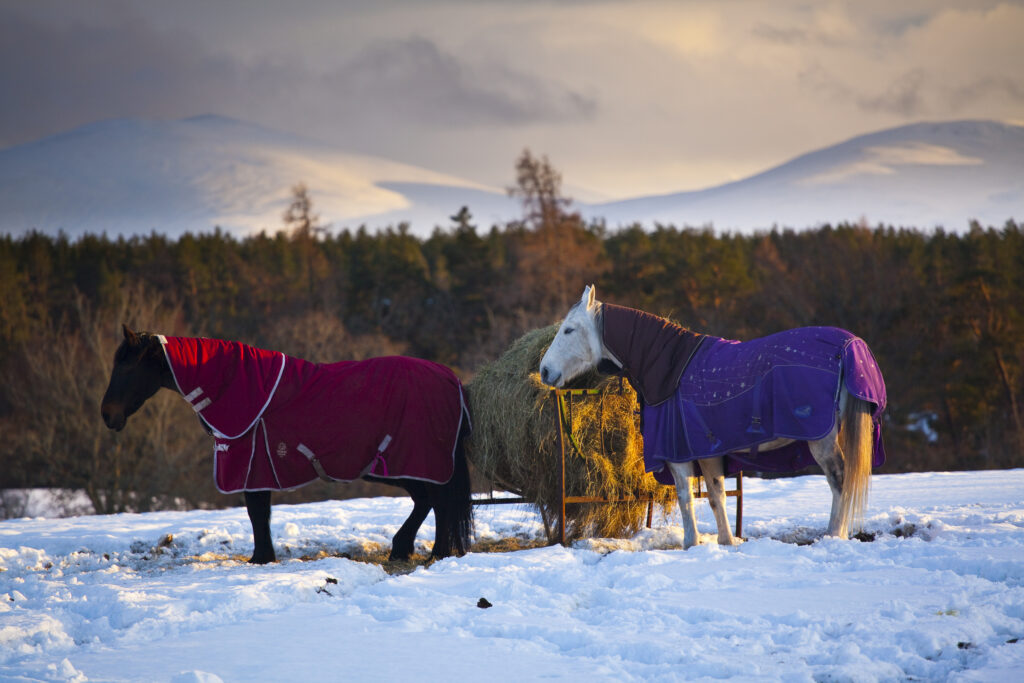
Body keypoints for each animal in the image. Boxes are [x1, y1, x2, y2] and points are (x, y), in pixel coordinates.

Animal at [101, 325, 473, 564]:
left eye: (126, 366)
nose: (107, 414)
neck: (240, 386)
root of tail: (450, 378)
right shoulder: (256, 467)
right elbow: (260, 514)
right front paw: (263, 557)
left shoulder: (251, 465)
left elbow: (256, 512)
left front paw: (261, 558)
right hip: (403, 465)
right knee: (428, 500)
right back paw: (404, 548)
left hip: (411, 462)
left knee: (438, 501)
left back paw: (437, 553)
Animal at [540, 286, 886, 549]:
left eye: (569, 329)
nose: (544, 370)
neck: (670, 369)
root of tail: (850, 346)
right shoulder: (708, 451)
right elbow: (717, 494)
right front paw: (726, 541)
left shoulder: (679, 453)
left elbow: (687, 498)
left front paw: (692, 543)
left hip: (822, 439)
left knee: (840, 480)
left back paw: (834, 535)